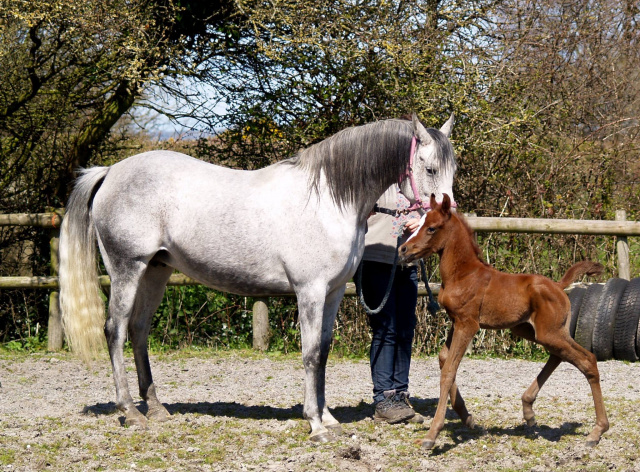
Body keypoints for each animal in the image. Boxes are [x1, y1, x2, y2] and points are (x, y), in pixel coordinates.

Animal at [400, 195, 608, 450]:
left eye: (431, 228)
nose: (403, 249)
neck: (464, 274)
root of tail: (559, 287)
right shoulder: (456, 321)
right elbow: (443, 359)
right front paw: (467, 418)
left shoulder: (468, 324)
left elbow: (449, 369)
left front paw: (432, 435)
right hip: (533, 331)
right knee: (559, 356)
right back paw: (529, 411)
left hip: (550, 333)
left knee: (587, 360)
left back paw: (597, 431)